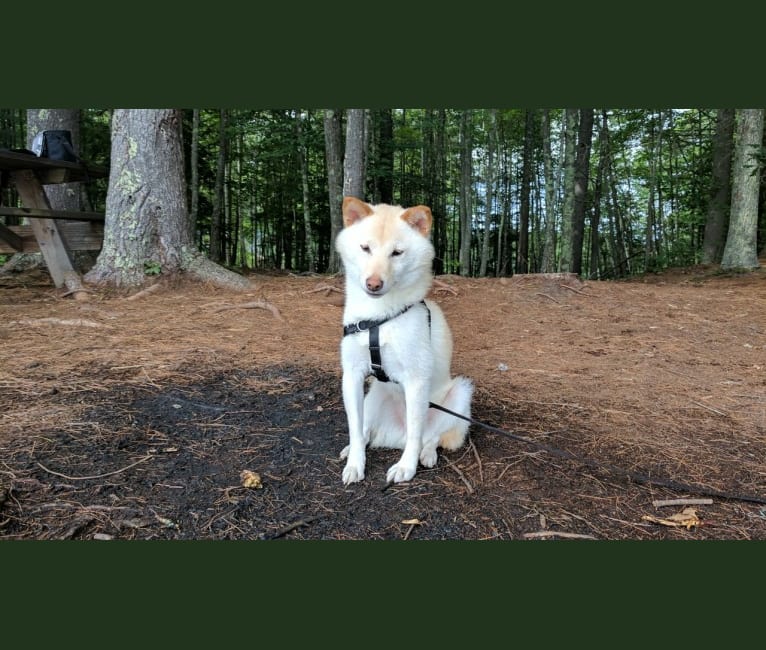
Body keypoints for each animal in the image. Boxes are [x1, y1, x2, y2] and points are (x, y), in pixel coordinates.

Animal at [336, 195, 474, 484]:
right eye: (365, 248)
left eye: (396, 253)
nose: (373, 284)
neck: (378, 318)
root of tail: (393, 436)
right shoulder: (352, 376)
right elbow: (355, 427)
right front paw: (355, 463)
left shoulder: (416, 379)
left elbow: (416, 432)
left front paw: (406, 467)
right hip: (374, 395)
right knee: (366, 430)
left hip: (460, 393)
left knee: (430, 437)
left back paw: (427, 454)